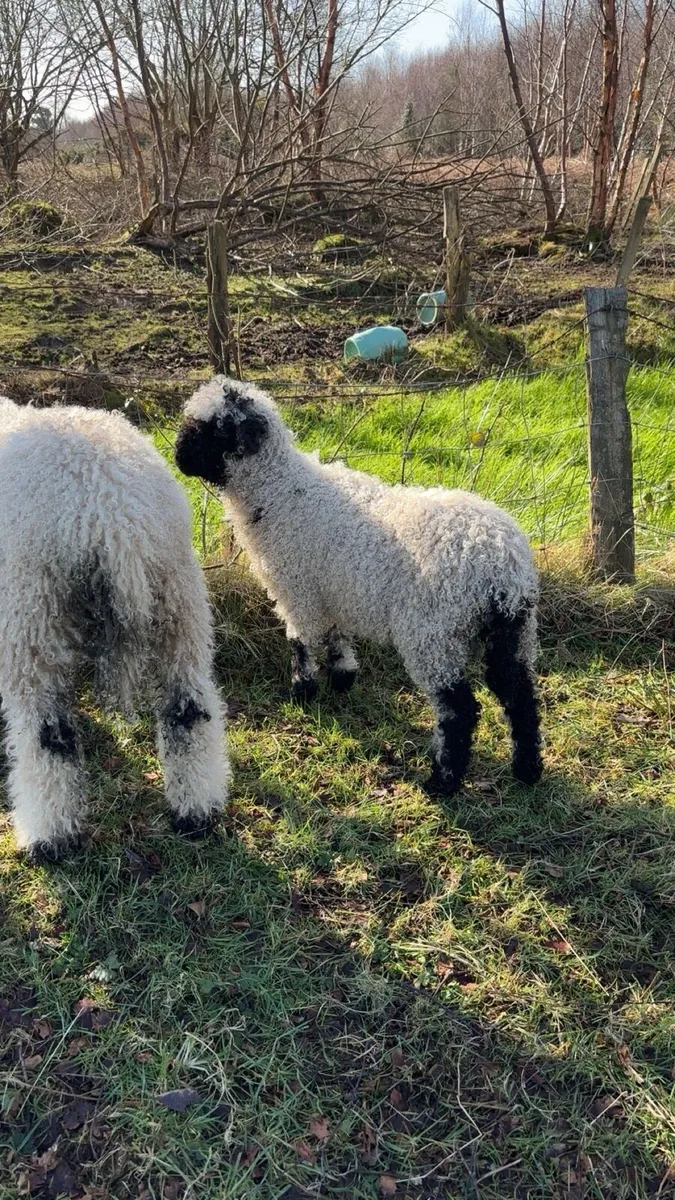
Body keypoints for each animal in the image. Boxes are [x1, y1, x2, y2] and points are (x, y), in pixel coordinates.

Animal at [0, 397, 230, 863]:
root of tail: (111, 509)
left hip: (30, 617)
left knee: (46, 735)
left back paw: (47, 836)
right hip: (179, 601)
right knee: (189, 710)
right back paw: (197, 812)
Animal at [174, 376, 543, 795]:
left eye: (213, 430)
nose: (178, 458)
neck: (279, 491)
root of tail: (500, 561)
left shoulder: (297, 589)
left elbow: (301, 641)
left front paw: (303, 692)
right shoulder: (335, 587)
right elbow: (338, 635)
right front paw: (343, 677)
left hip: (432, 633)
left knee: (458, 709)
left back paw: (443, 781)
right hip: (514, 630)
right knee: (520, 695)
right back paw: (527, 770)